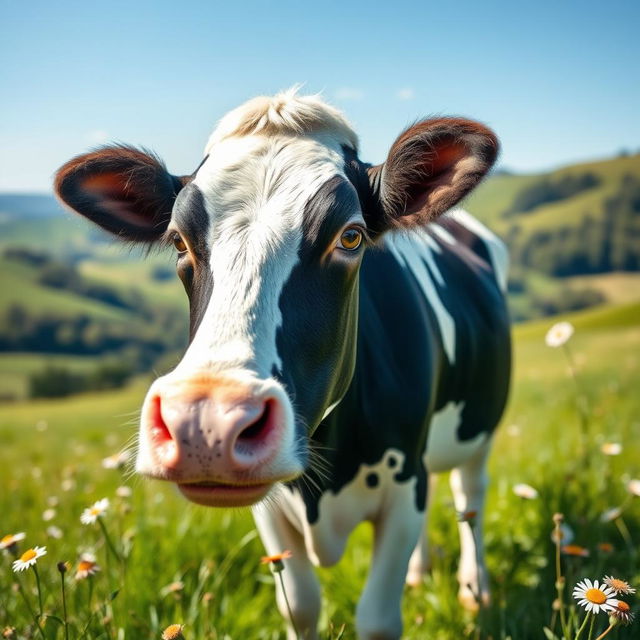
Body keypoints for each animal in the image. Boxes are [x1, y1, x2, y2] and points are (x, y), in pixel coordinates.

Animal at [57, 89, 512, 640]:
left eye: (351, 236)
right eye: (178, 240)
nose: (204, 423)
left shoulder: (405, 483)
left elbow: (377, 618)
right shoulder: (275, 510)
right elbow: (301, 605)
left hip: (479, 434)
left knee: (471, 500)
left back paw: (476, 589)